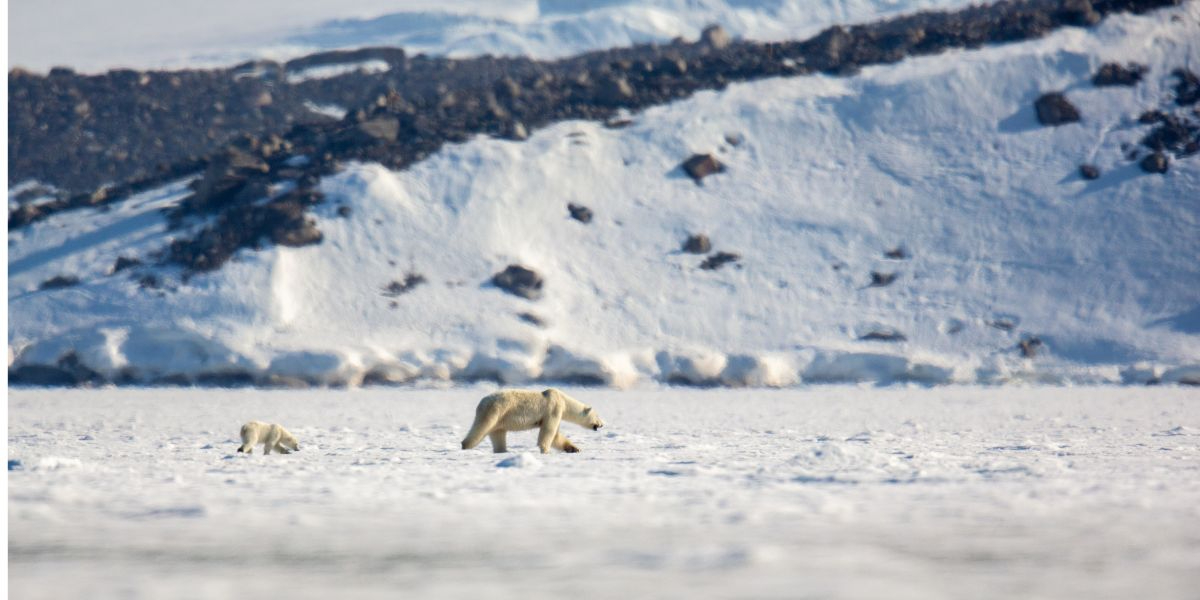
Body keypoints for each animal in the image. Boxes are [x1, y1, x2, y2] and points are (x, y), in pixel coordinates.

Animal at [463, 388, 604, 453]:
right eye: (598, 416)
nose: (602, 424)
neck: (563, 400)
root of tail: (481, 403)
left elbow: (556, 437)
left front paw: (575, 449)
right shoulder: (553, 409)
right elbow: (548, 432)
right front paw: (544, 450)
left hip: (499, 420)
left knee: (498, 435)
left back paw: (502, 451)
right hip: (494, 411)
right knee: (480, 429)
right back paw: (465, 446)